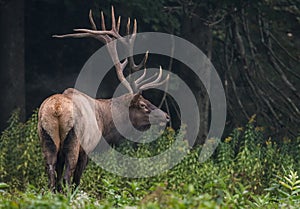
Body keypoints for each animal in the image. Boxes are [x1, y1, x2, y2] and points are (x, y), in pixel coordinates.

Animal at [37, 6, 170, 191]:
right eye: (143, 105)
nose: (166, 116)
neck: (105, 124)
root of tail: (57, 109)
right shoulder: (88, 149)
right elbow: (77, 180)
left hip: (47, 139)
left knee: (51, 178)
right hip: (74, 141)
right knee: (67, 178)